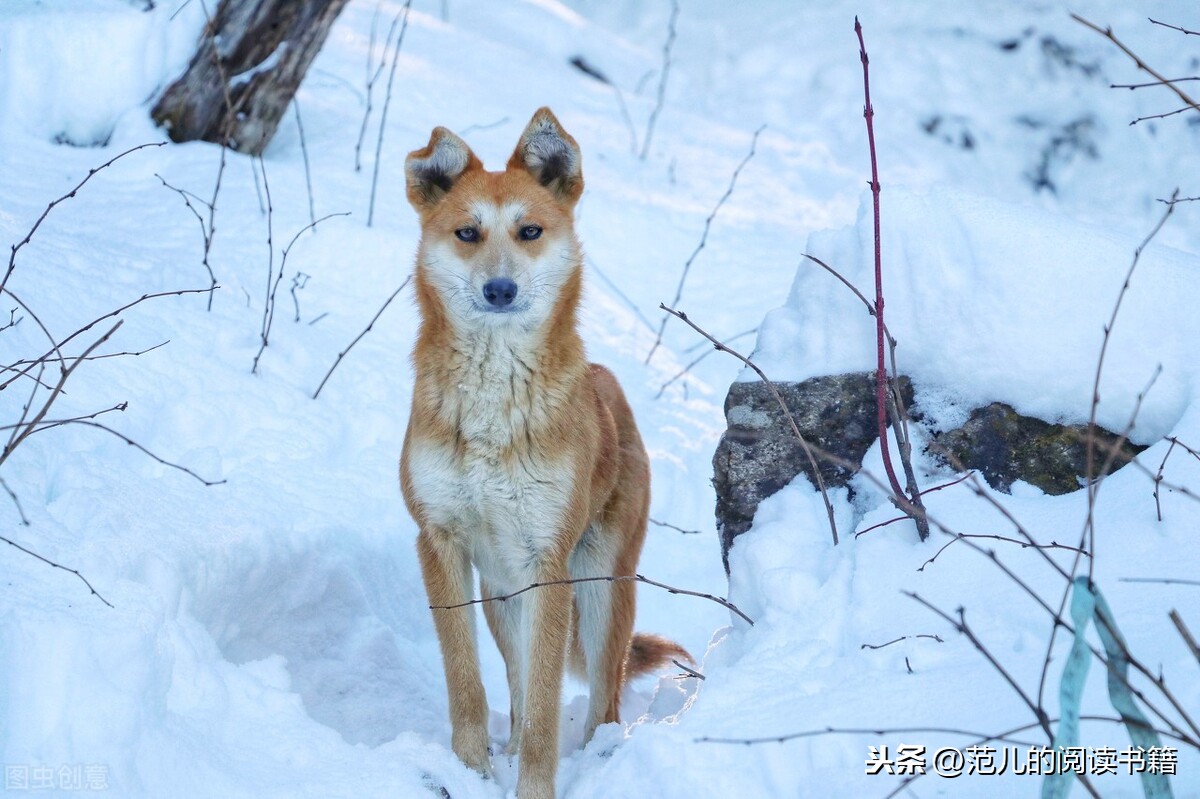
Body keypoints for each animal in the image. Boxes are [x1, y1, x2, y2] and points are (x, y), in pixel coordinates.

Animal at [400, 107, 691, 796]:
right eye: (467, 233)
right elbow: (470, 688)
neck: (491, 399)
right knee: (520, 681)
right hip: (503, 595)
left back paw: (604, 758)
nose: (501, 289)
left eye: (529, 231)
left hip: (601, 585)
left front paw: (532, 787)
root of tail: (607, 381)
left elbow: (542, 711)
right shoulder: (440, 541)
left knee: (603, 696)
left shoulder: (548, 560)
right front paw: (469, 772)